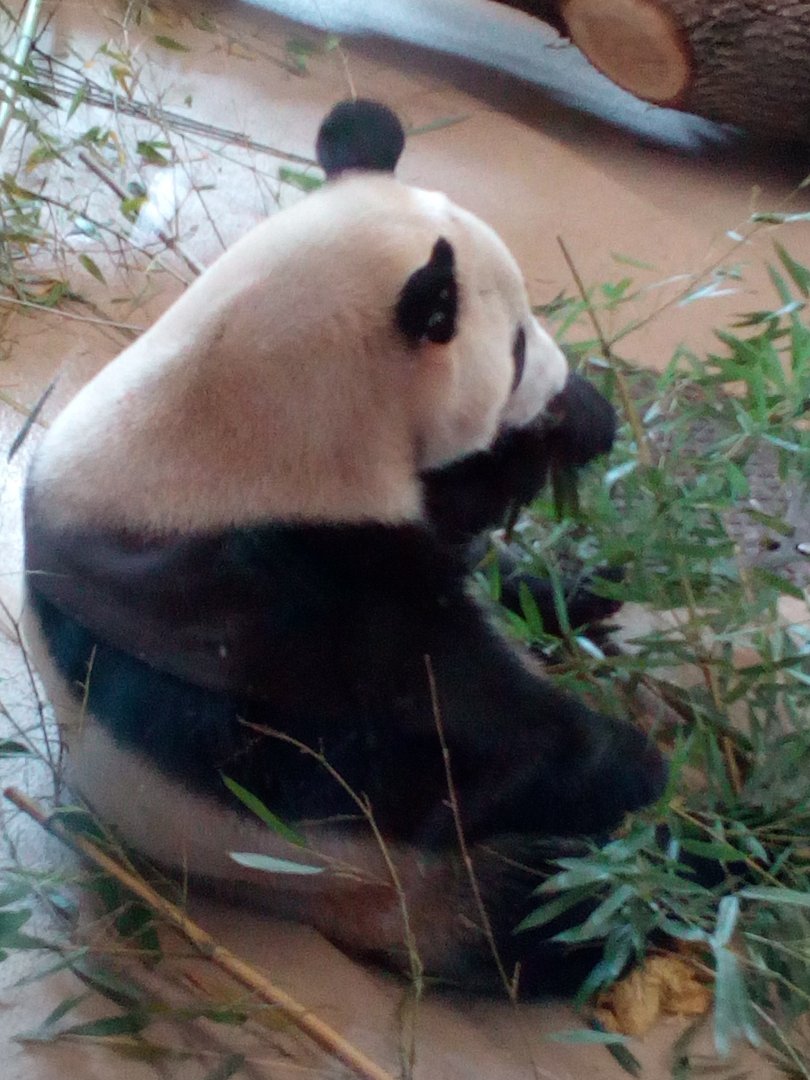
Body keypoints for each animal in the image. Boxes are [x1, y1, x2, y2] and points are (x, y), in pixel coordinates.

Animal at [23, 100, 665, 995]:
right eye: (516, 350)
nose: (569, 388)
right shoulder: (271, 586)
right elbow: (434, 726)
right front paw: (628, 760)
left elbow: (461, 531)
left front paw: (575, 457)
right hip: (390, 886)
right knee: (551, 913)